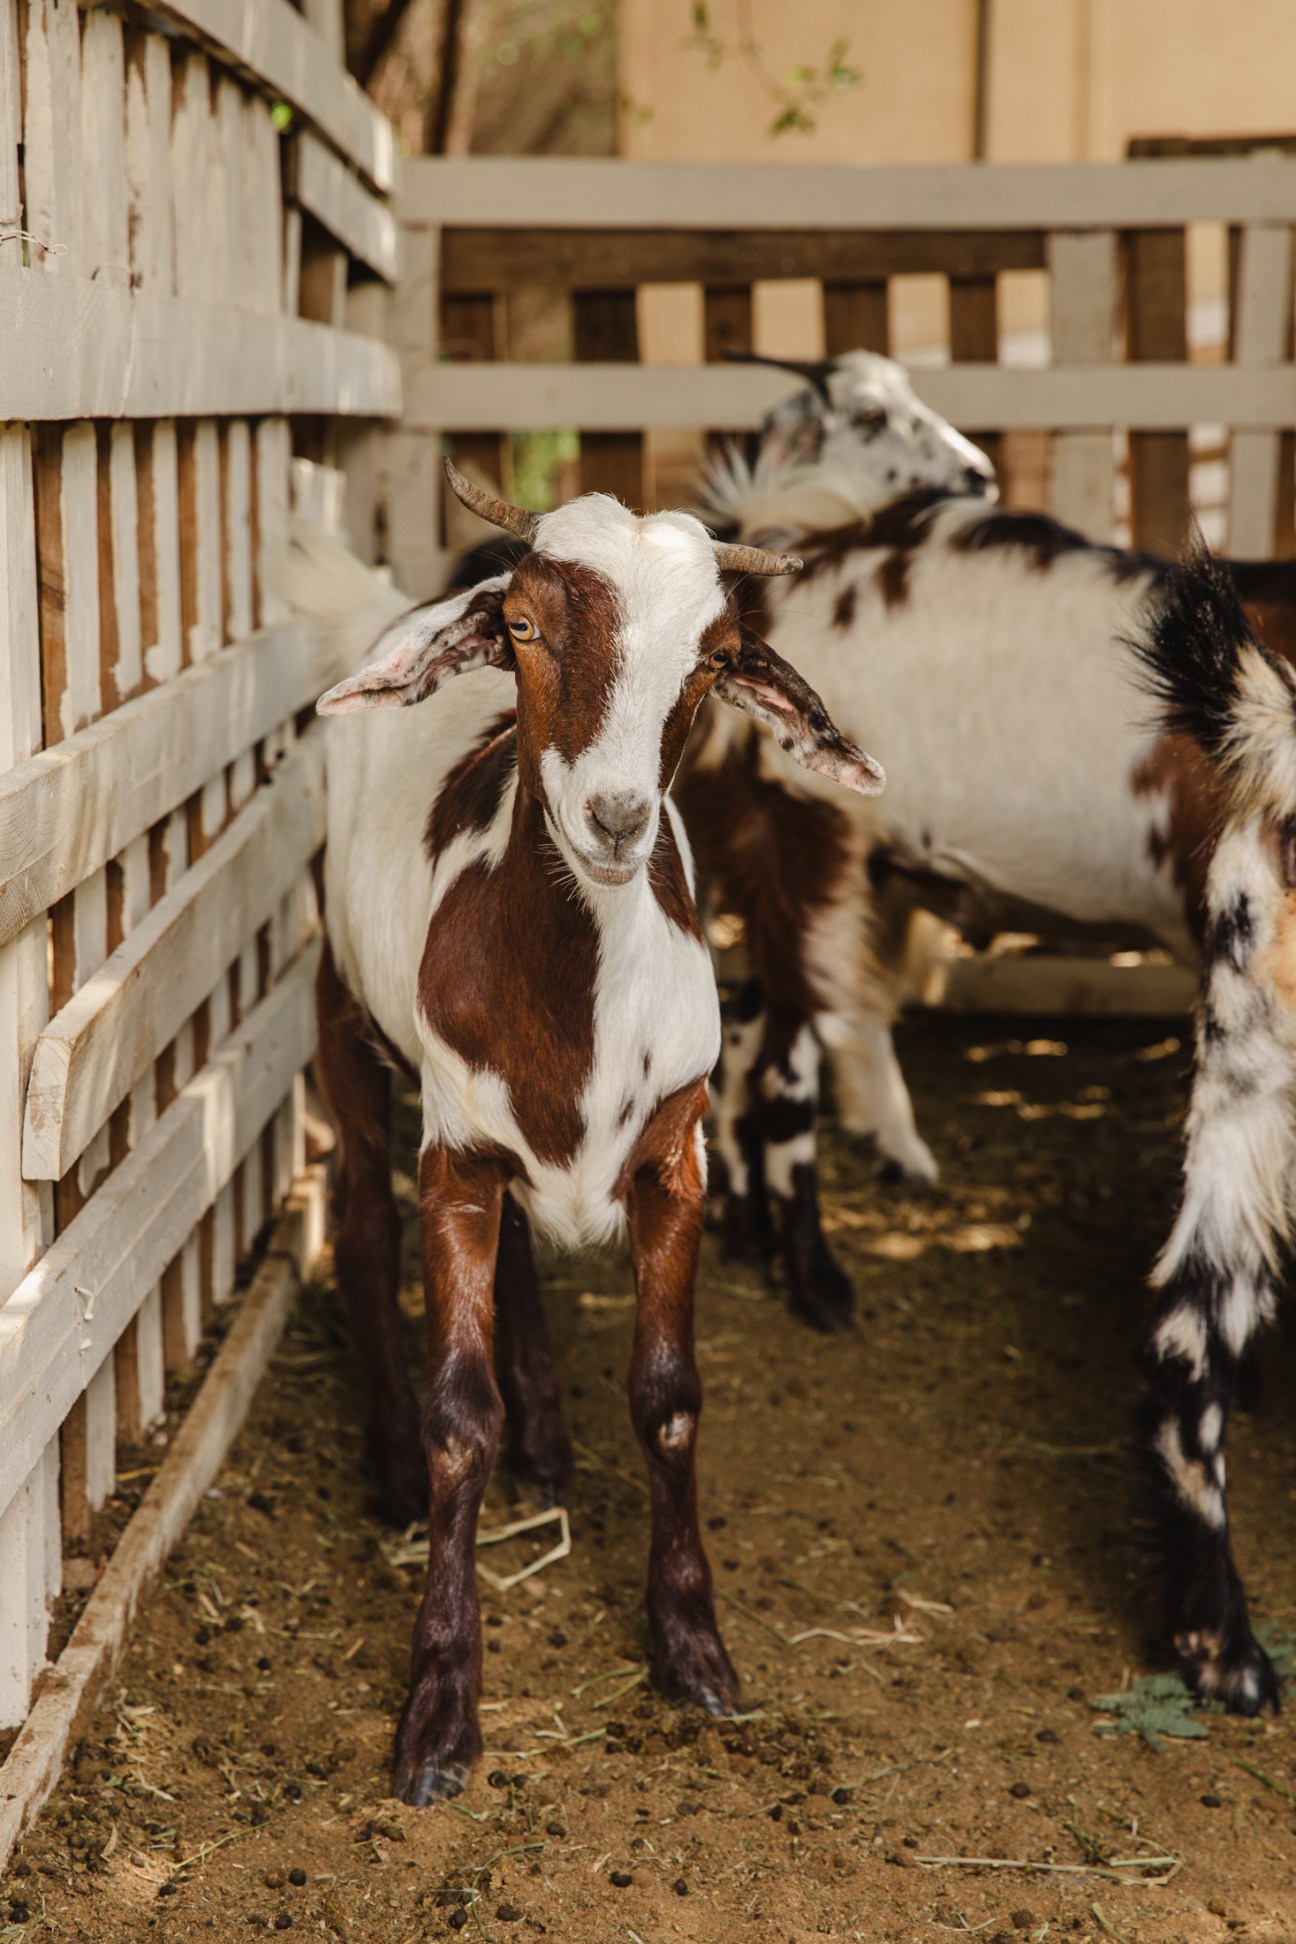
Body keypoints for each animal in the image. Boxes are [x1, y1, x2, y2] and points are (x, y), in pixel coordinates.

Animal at [280, 462, 882, 1804]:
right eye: (520, 625)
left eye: (717, 661)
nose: (614, 819)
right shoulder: (452, 1158)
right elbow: (459, 1418)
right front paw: (440, 1713)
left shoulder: (677, 1157)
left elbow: (668, 1398)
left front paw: (696, 1652)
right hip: (338, 1007)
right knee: (358, 1220)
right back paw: (388, 1466)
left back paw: (548, 1443)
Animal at [685, 351, 1296, 1333]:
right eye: (868, 412)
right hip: (809, 843)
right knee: (783, 1065)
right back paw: (816, 1278)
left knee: (744, 1029)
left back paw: (749, 1233)